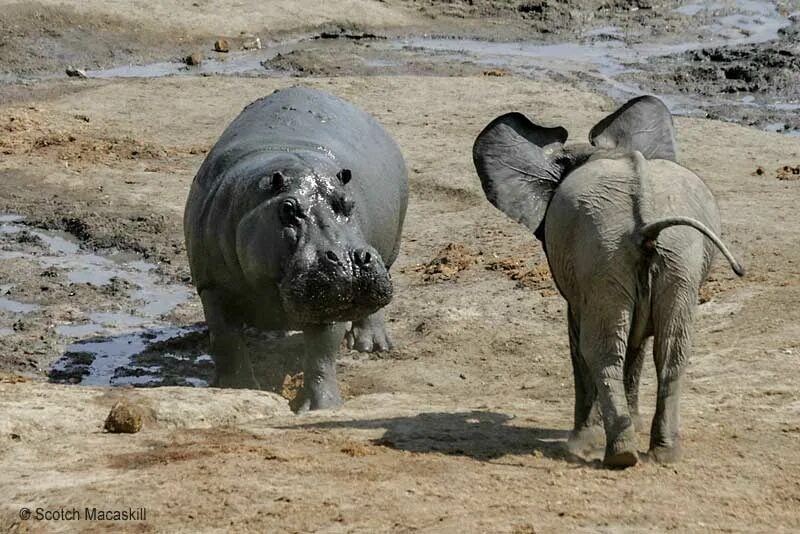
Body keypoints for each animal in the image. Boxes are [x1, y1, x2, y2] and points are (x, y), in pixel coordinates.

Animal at [476, 96, 744, 468]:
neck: (606, 152)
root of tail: (645, 219)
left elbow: (581, 338)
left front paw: (583, 439)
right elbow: (639, 342)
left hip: (609, 255)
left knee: (600, 351)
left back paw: (614, 454)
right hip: (673, 256)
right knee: (672, 349)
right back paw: (661, 454)